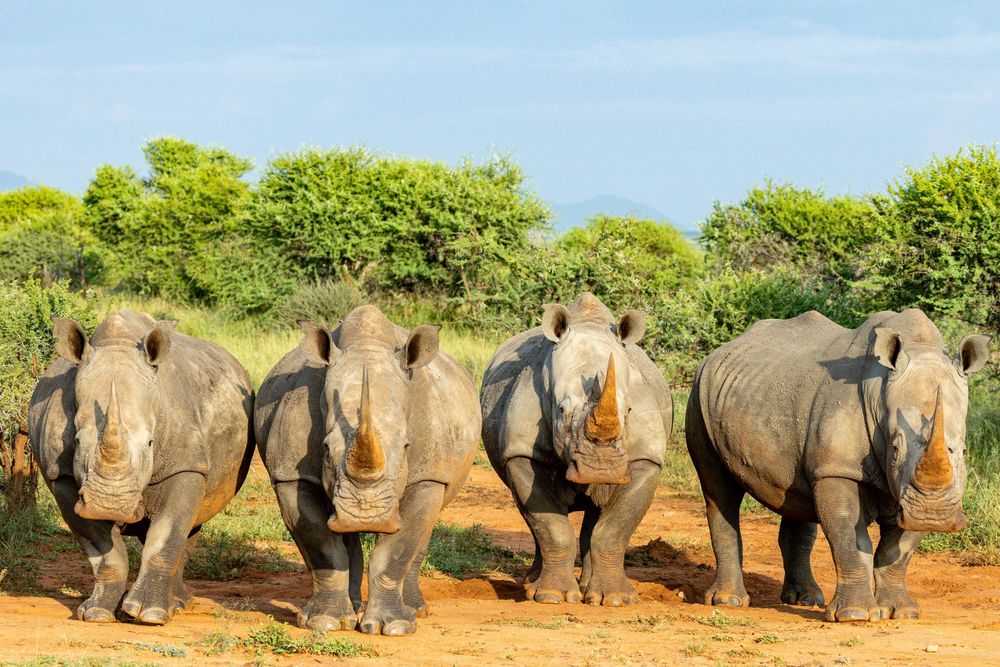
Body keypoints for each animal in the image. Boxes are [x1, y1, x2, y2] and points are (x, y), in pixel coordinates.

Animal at [28, 309, 254, 624]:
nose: (110, 504)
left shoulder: (185, 465)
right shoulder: (60, 475)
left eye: (150, 443)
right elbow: (104, 550)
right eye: (76, 439)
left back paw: (177, 605)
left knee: (193, 522)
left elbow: (167, 535)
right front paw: (96, 614)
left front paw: (151, 615)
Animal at [254, 305, 479, 635]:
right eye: (325, 449)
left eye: (407, 447)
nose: (365, 516)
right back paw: (353, 608)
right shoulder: (290, 474)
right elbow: (321, 542)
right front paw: (324, 622)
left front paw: (395, 627)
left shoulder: (429, 475)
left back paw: (415, 611)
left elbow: (398, 548)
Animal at [480, 293, 672, 606]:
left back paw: (587, 590)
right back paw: (534, 584)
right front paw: (552, 597)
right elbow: (550, 525)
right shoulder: (520, 452)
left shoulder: (646, 457)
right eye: (561, 410)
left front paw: (616, 599)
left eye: (629, 412)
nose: (601, 468)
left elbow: (615, 528)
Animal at [687, 309, 990, 622]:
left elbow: (897, 550)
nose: (935, 517)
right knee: (719, 492)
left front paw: (901, 612)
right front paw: (855, 615)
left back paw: (806, 599)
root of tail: (717, 353)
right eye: (894, 450)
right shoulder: (837, 468)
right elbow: (849, 538)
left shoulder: (913, 494)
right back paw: (729, 601)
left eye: (963, 451)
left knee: (796, 497)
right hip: (698, 396)